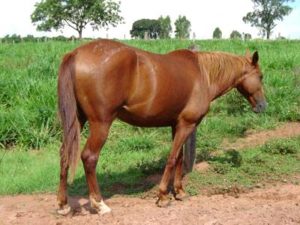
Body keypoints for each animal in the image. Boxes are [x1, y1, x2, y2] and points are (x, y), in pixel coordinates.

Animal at [56, 39, 268, 215]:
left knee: (65, 154)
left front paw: (180, 191)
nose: (263, 106)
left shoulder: (177, 125)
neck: (203, 74)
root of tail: (75, 54)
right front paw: (163, 196)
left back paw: (63, 204)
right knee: (89, 157)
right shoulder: (187, 124)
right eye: (261, 76)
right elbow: (172, 158)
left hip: (77, 121)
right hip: (101, 124)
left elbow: (180, 158)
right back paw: (99, 204)